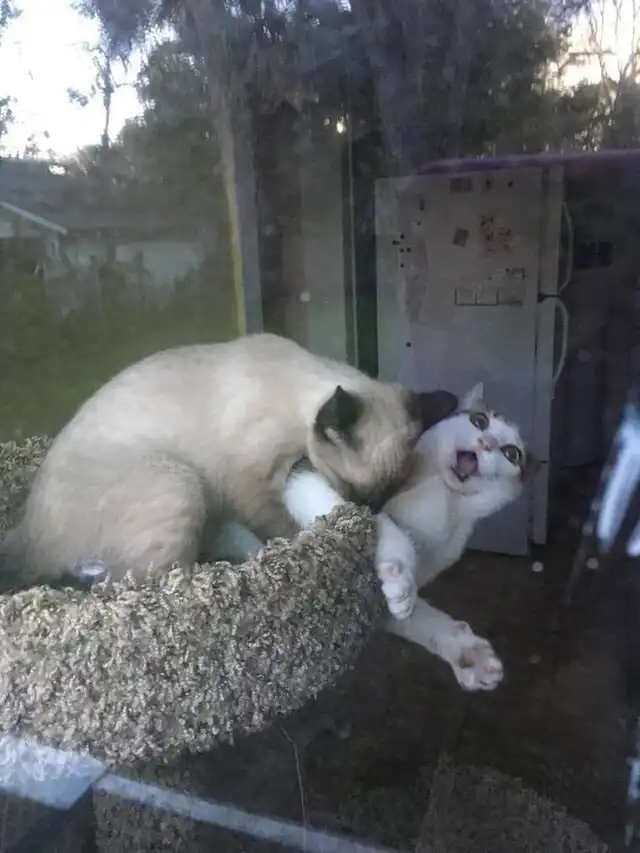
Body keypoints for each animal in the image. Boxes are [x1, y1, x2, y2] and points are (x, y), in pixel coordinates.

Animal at [0, 332, 457, 623]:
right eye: (356, 495)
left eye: (381, 500)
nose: (366, 512)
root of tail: (22, 533)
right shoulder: (255, 484)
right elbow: (280, 525)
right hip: (178, 483)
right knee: (138, 584)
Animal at [215, 382, 539, 691]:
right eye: (479, 420)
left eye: (512, 453)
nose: (487, 443)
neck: (440, 502)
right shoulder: (312, 472)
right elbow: (363, 514)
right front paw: (399, 571)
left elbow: (409, 615)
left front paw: (467, 654)